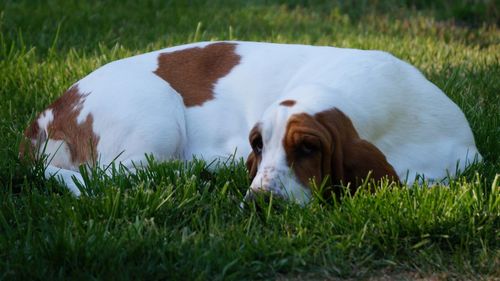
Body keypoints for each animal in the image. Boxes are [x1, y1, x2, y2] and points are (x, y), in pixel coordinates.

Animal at [21, 41, 482, 201]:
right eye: (258, 145)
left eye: (309, 149)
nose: (260, 200)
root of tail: (50, 112)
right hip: (157, 115)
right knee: (108, 176)